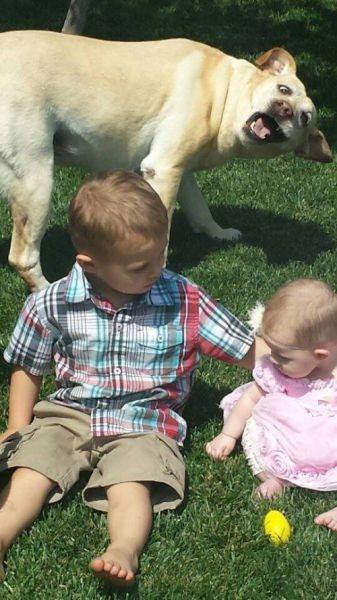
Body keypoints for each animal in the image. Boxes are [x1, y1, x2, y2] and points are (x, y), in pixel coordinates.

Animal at [0, 29, 330, 288]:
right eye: (283, 89)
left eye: (304, 118)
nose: (285, 110)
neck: (223, 93)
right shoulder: (163, 169)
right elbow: (164, 230)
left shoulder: (181, 171)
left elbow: (200, 209)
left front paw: (219, 234)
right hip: (37, 182)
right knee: (22, 257)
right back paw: (47, 292)